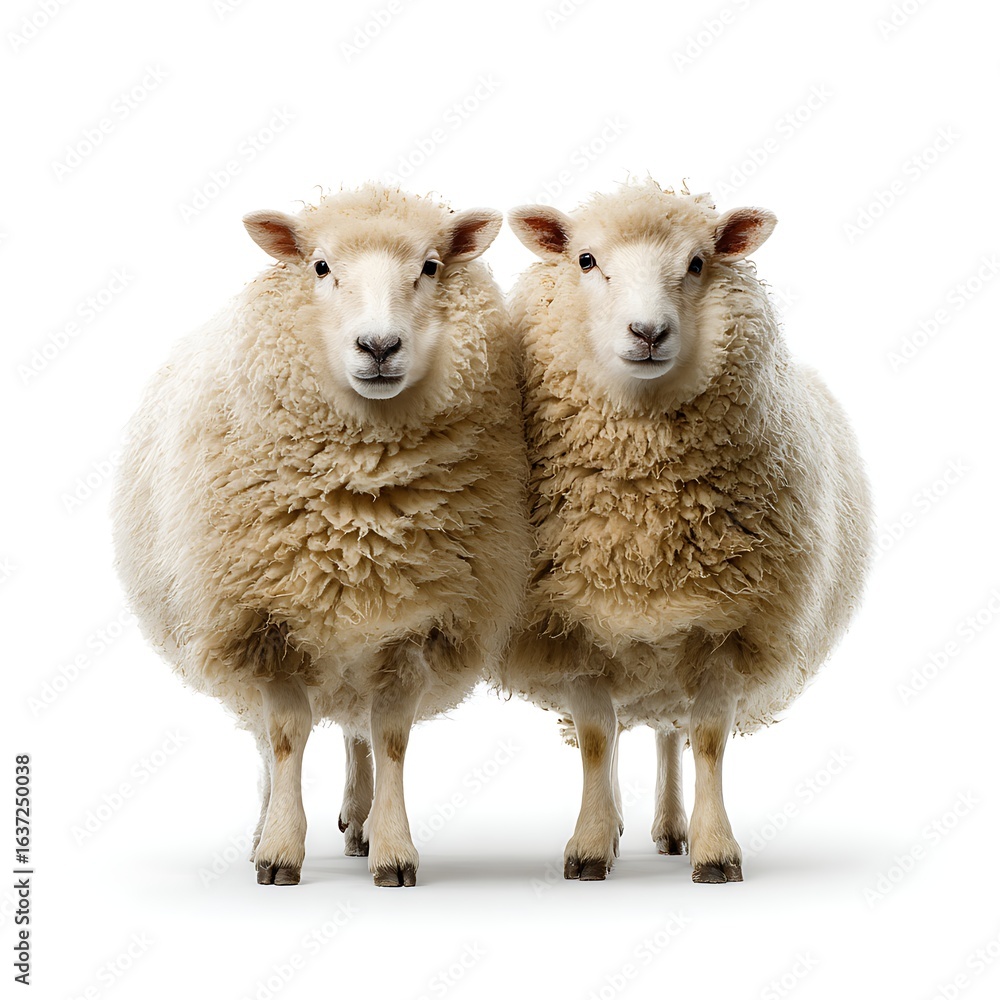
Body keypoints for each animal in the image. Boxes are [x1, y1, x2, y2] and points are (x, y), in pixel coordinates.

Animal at [110, 184, 530, 888]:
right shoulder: (264, 623)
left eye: (431, 267)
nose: (379, 346)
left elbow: (390, 739)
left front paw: (394, 849)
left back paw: (358, 823)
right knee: (273, 740)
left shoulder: (412, 625)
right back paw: (264, 826)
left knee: (357, 729)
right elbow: (285, 738)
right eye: (321, 267)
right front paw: (279, 850)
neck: (362, 500)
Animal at [501, 179, 873, 883]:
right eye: (586, 260)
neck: (645, 525)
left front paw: (716, 850)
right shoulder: (578, 624)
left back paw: (672, 829)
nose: (648, 332)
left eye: (698, 262)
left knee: (670, 734)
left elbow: (705, 742)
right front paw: (590, 845)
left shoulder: (725, 626)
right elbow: (597, 741)